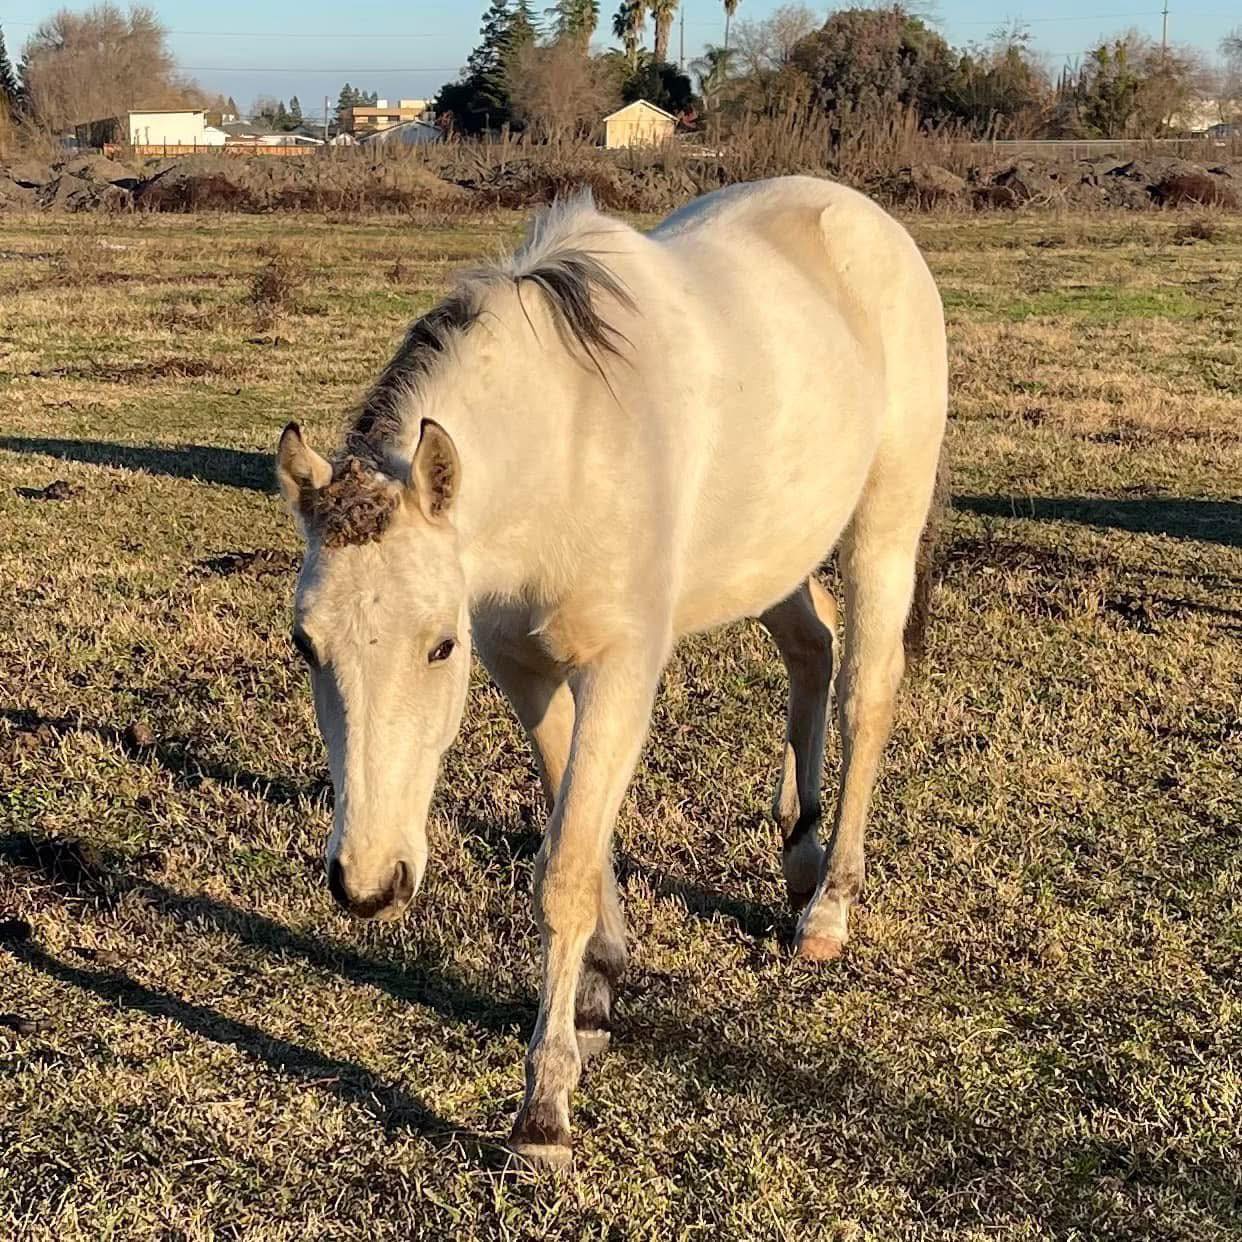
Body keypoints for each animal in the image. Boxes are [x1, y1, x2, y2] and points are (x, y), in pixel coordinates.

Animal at [275, 176, 948, 1167]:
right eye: (305, 645)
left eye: (439, 646)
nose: (368, 884)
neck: (570, 442)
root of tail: (859, 215)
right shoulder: (526, 668)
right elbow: (582, 847)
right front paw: (597, 994)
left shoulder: (622, 673)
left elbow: (564, 867)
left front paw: (544, 1109)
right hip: (770, 553)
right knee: (812, 648)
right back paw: (797, 851)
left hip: (882, 530)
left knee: (868, 693)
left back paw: (828, 907)